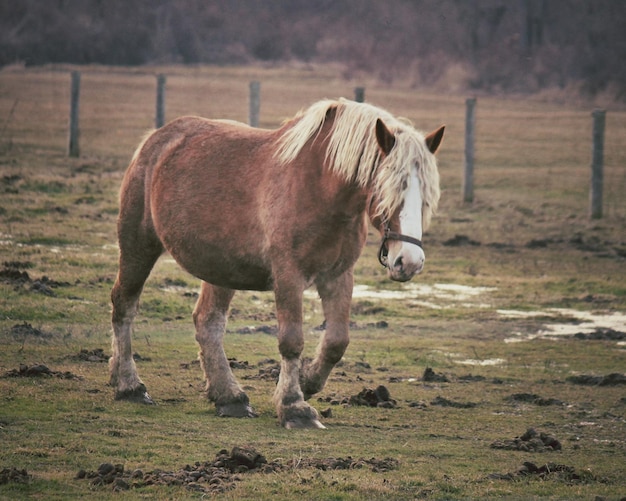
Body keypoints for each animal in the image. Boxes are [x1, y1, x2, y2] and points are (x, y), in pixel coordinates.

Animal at [111, 96, 444, 426]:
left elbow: (337, 342)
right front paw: (294, 406)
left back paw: (230, 397)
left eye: (426, 198)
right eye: (389, 190)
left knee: (208, 322)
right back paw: (130, 386)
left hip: (221, 270)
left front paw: (307, 382)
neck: (320, 188)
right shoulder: (288, 275)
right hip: (138, 246)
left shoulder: (338, 276)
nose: (409, 261)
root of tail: (156, 141)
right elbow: (291, 341)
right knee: (124, 305)